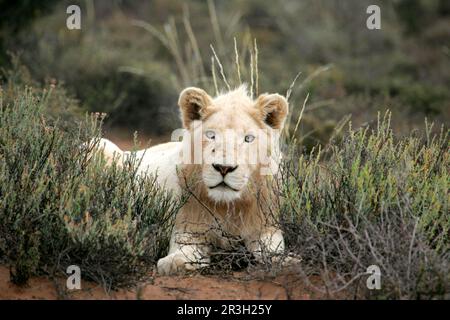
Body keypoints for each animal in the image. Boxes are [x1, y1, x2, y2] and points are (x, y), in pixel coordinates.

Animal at [92, 85, 288, 276]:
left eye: (248, 138)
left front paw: (286, 260)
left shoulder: (264, 227)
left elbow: (274, 249)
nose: (223, 168)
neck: (227, 207)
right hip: (101, 143)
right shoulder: (188, 228)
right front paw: (174, 263)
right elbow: (183, 251)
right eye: (211, 135)